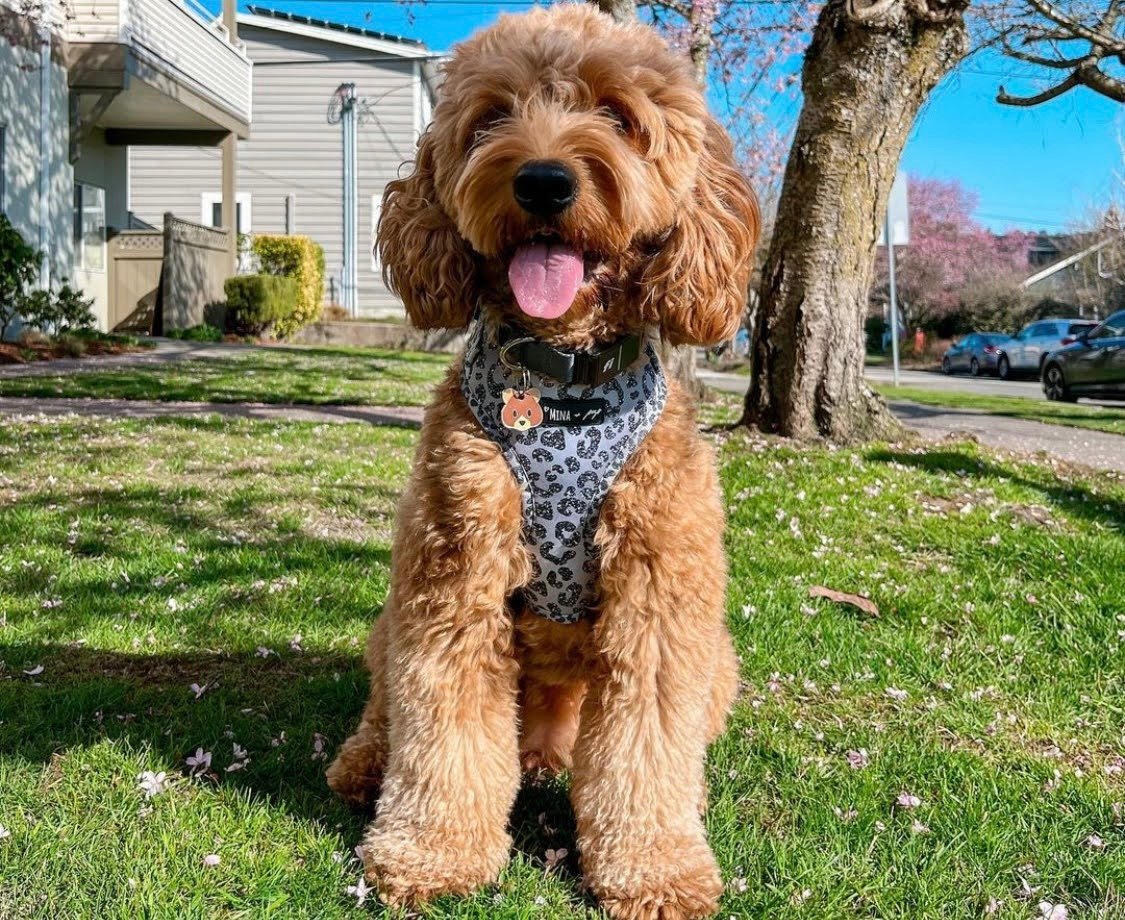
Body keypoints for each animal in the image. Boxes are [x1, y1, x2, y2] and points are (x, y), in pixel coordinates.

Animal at [328, 5, 760, 908]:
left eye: (617, 115)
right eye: (492, 116)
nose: (542, 182)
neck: (561, 384)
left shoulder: (659, 599)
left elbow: (645, 744)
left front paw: (655, 869)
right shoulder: (454, 576)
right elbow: (443, 723)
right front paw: (433, 853)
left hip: (717, 661)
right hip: (391, 621)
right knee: (390, 706)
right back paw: (366, 762)